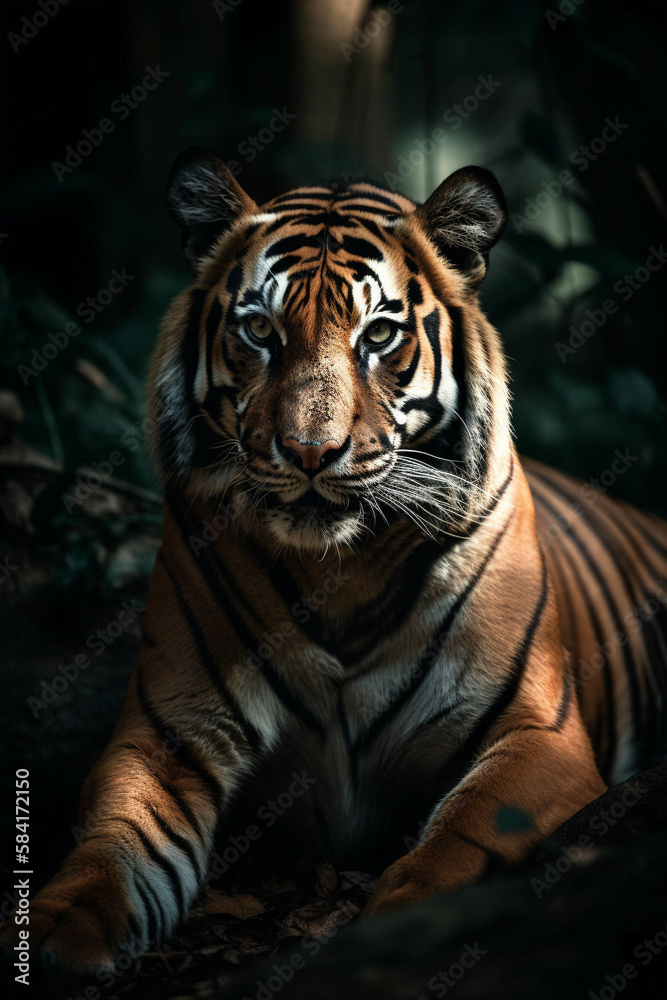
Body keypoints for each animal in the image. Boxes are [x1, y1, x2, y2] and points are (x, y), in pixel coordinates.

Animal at [4, 150, 667, 976]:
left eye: (378, 335)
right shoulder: (168, 734)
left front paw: (404, 922)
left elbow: (460, 843)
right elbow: (112, 847)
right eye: (259, 330)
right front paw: (53, 933)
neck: (340, 570)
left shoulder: (536, 734)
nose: (310, 453)